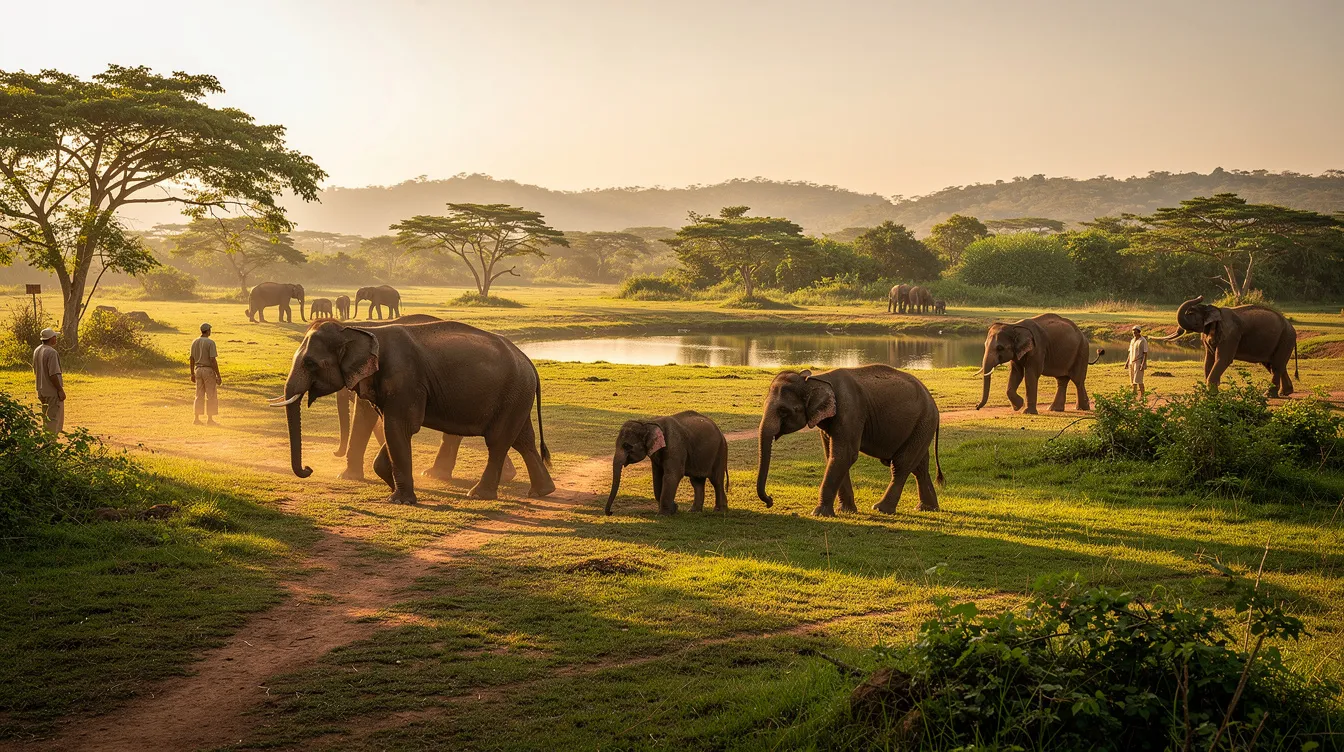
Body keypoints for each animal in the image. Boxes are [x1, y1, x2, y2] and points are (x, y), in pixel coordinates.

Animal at [270, 319, 553, 504]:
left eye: (310, 363)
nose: (308, 469)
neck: (361, 329)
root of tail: (529, 362)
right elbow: (392, 428)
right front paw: (391, 484)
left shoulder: (404, 379)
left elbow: (400, 426)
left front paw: (399, 500)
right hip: (516, 397)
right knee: (522, 440)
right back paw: (542, 492)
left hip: (513, 392)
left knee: (497, 442)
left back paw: (479, 494)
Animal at [756, 365, 944, 516]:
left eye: (784, 411)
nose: (770, 500)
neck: (815, 379)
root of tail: (934, 404)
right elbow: (833, 456)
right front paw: (845, 511)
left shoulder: (850, 411)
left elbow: (844, 455)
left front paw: (819, 513)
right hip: (920, 427)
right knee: (919, 466)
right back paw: (926, 508)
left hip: (924, 421)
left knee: (901, 464)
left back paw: (881, 508)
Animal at [976, 314, 1104, 414]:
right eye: (985, 345)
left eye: (1000, 348)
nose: (977, 406)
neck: (1013, 326)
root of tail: (1083, 335)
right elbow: (1016, 373)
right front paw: (1018, 406)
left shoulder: (1037, 349)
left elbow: (1031, 374)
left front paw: (1026, 411)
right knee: (1062, 380)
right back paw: (1055, 409)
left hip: (1081, 351)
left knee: (1078, 380)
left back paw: (1082, 408)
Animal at [1161, 295, 1299, 397]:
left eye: (1190, 313)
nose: (1201, 296)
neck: (1215, 309)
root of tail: (1292, 328)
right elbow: (1208, 360)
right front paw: (1210, 392)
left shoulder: (1231, 335)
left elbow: (1223, 359)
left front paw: (1212, 393)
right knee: (1274, 365)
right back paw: (1285, 392)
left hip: (1286, 338)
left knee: (1276, 366)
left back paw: (1268, 395)